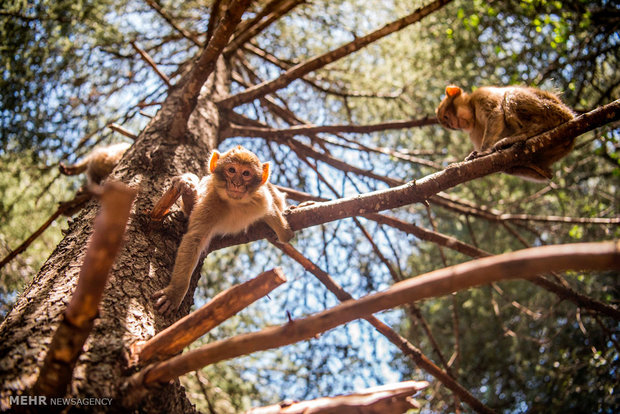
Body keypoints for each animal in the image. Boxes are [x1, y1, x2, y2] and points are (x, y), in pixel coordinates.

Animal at [152, 146, 294, 314]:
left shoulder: (261, 199)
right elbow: (194, 239)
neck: (235, 203)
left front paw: (284, 230)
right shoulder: (211, 202)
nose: (236, 183)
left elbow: (271, 210)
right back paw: (188, 191)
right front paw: (175, 292)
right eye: (231, 170)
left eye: (246, 173)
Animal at [436, 85, 576, 180]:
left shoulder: (481, 95)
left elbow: (495, 112)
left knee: (510, 93)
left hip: (552, 110)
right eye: (449, 125)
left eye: (447, 117)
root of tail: (569, 115)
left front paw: (483, 152)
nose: (454, 125)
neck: (474, 115)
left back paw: (528, 132)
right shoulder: (474, 133)